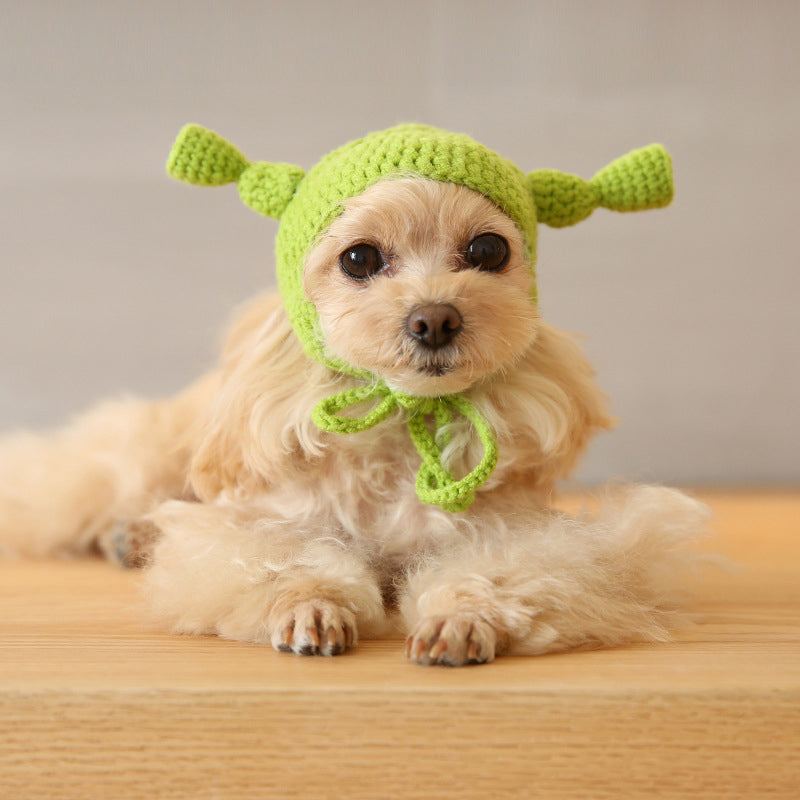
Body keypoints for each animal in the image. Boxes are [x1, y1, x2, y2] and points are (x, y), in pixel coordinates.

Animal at [0, 123, 708, 664]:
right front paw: (311, 611)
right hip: (161, 448)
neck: (400, 434)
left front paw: (460, 620)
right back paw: (130, 535)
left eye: (488, 248)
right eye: (360, 259)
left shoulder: (517, 537)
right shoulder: (259, 529)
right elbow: (290, 564)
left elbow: (495, 573)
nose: (434, 318)